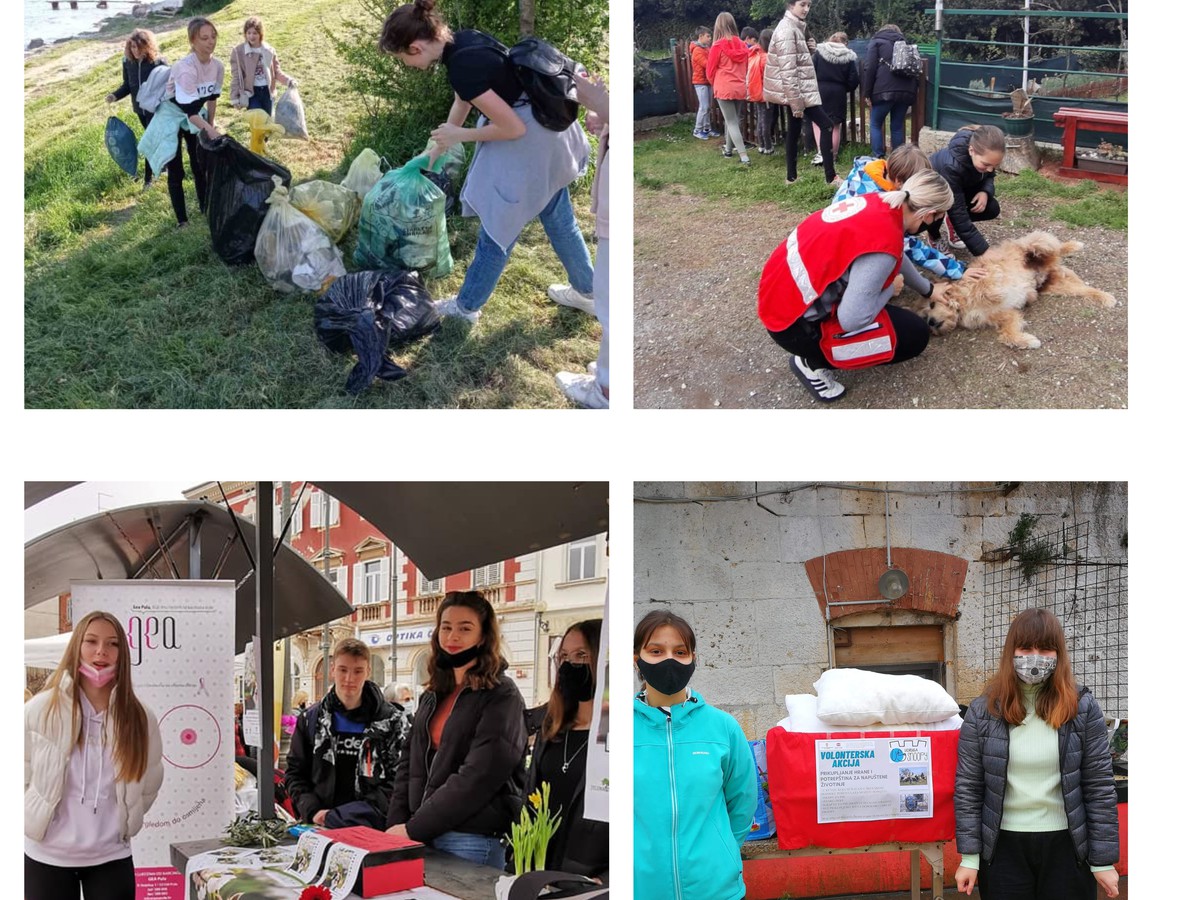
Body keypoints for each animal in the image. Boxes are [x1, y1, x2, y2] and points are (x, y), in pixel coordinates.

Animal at [912, 229, 1118, 348]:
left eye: (932, 305)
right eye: (924, 317)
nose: (930, 322)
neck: (963, 308)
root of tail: (1049, 266)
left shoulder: (982, 278)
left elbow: (989, 286)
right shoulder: (1006, 315)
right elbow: (1008, 334)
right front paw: (1027, 341)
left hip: (1036, 245)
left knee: (1053, 245)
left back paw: (1073, 245)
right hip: (1056, 286)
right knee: (1083, 289)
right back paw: (1105, 296)